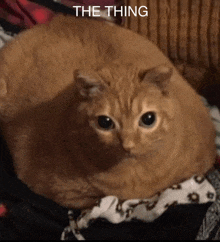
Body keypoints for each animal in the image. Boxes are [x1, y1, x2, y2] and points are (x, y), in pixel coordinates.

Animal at [0, 15, 217, 209]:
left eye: (148, 119)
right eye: (105, 122)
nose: (127, 144)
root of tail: (56, 20)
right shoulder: (65, 194)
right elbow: (97, 201)